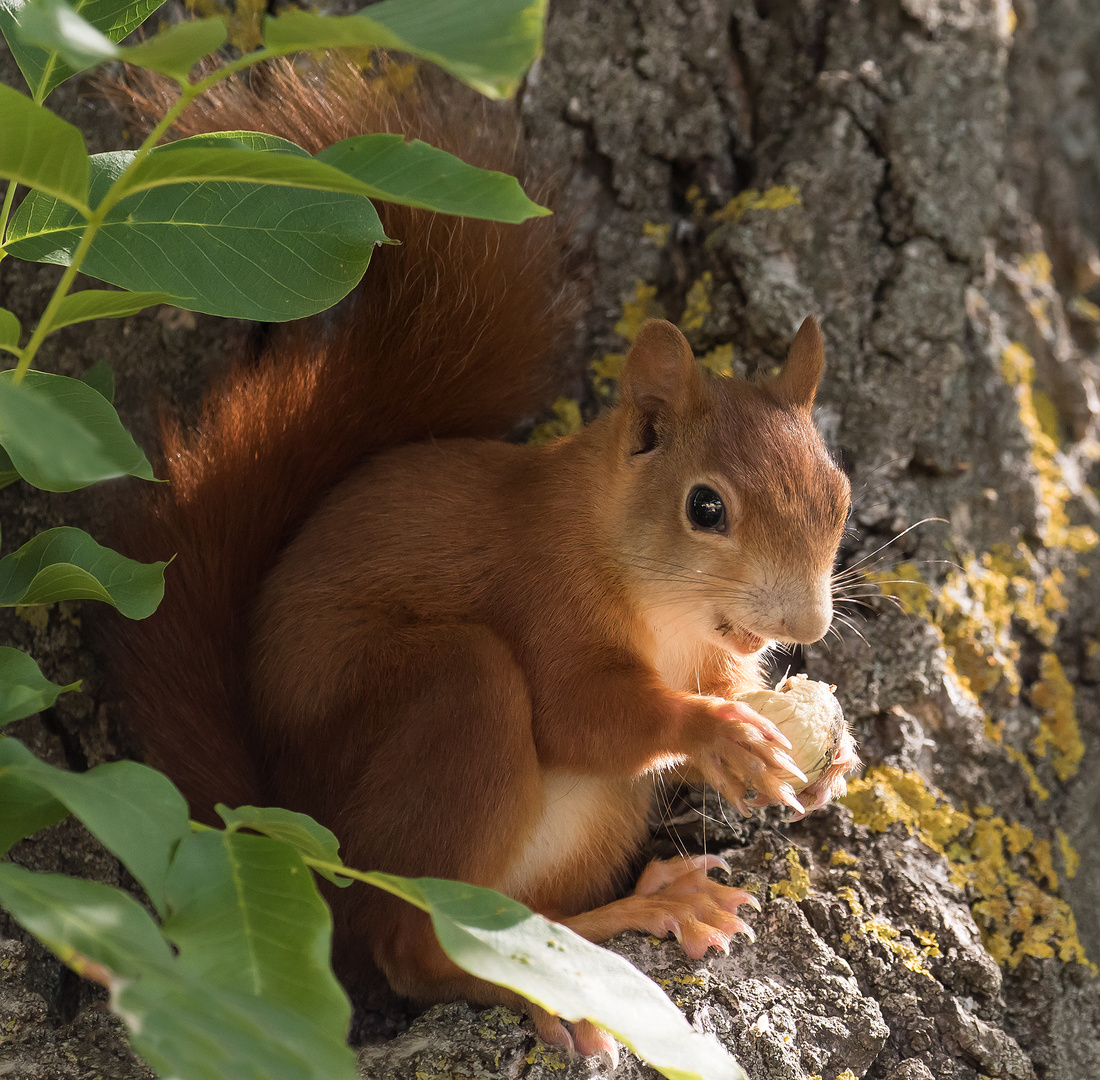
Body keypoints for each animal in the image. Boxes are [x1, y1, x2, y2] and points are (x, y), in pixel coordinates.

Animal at [113, 57, 858, 1055]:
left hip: (593, 815)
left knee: (507, 925)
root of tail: (316, 867)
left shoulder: (708, 652)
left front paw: (824, 753)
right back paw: (556, 988)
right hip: (451, 702)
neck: (656, 604)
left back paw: (646, 907)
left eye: (839, 496)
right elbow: (582, 716)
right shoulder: (542, 592)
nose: (805, 623)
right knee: (412, 950)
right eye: (706, 508)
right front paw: (719, 734)